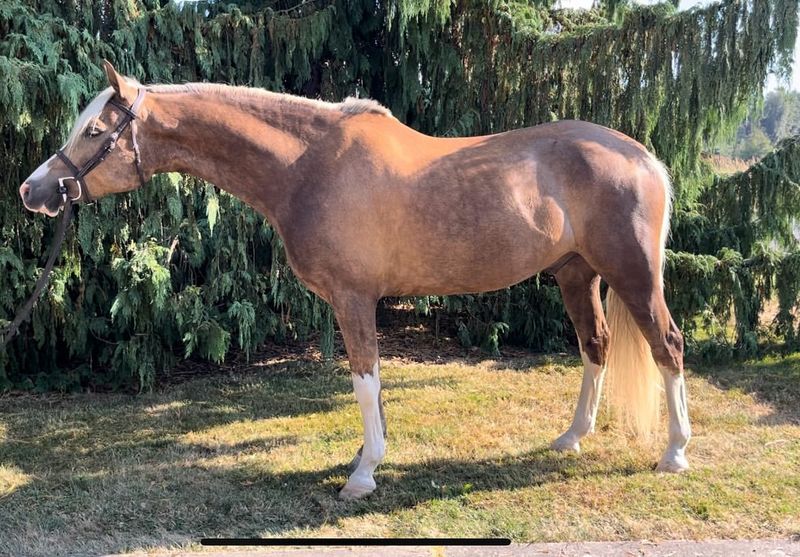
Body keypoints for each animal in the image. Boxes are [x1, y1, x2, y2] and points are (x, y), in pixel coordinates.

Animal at [20, 62, 692, 500]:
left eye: (93, 130)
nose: (33, 190)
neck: (308, 166)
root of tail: (643, 156)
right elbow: (371, 384)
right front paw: (368, 455)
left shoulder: (352, 298)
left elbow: (364, 381)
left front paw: (364, 475)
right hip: (578, 274)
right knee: (596, 346)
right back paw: (572, 438)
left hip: (633, 275)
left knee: (668, 346)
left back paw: (675, 453)